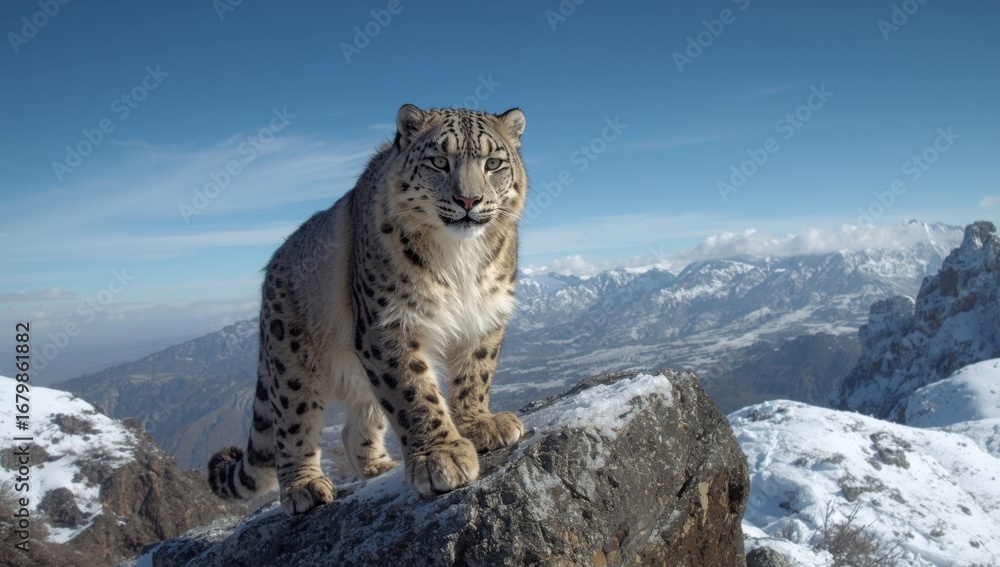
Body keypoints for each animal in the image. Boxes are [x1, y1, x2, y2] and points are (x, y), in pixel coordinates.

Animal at [208, 104, 528, 516]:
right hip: (290, 362)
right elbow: (412, 393)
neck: (459, 258)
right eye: (439, 161)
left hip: (359, 375)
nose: (469, 200)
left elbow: (475, 373)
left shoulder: (486, 314)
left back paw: (378, 466)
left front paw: (478, 424)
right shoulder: (388, 323)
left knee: (356, 423)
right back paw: (304, 487)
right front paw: (439, 457)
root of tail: (271, 269)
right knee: (292, 424)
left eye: (493, 163)